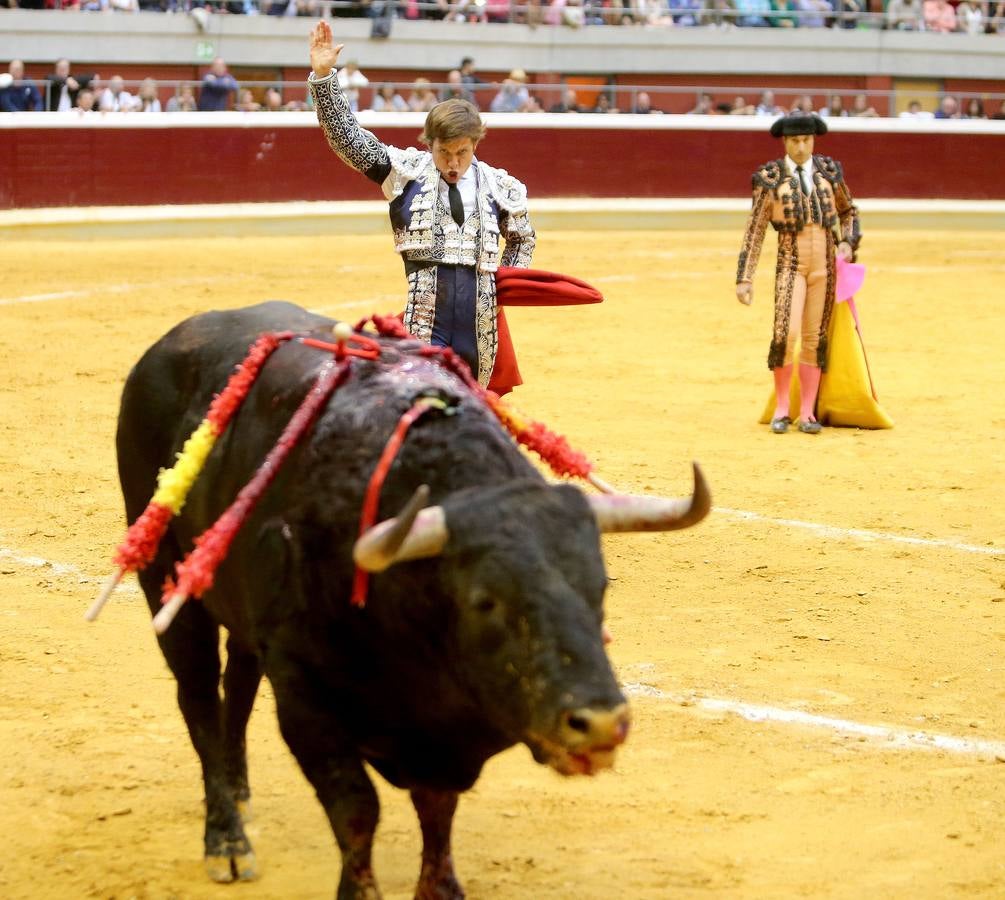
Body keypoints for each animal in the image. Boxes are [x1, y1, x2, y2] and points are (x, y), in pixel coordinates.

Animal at [112, 303, 707, 900]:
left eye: (600, 587)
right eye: (484, 600)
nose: (602, 724)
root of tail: (162, 349)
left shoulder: (443, 742)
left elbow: (436, 808)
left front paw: (441, 887)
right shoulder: (306, 700)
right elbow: (357, 810)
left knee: (237, 685)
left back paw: (239, 793)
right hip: (165, 580)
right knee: (198, 700)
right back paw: (227, 841)